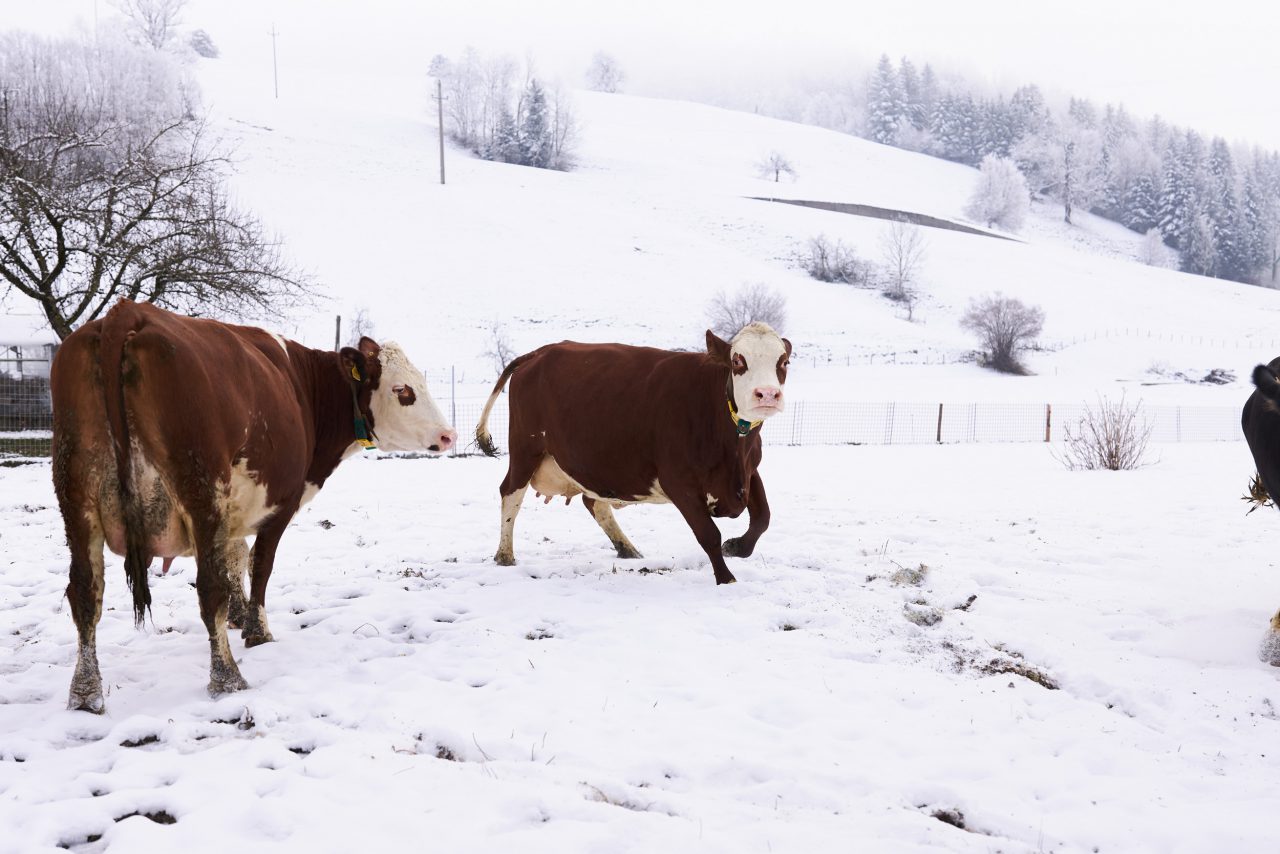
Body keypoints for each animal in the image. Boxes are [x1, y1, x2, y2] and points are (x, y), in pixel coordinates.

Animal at [52, 297, 458, 711]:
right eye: (402, 390)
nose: (448, 435)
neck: (305, 387)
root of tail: (127, 312)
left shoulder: (233, 508)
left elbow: (234, 558)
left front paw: (237, 615)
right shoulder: (280, 503)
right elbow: (258, 564)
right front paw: (257, 631)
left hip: (76, 495)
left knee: (84, 591)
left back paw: (85, 693)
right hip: (200, 489)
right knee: (207, 589)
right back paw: (227, 678)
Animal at [471, 323, 788, 583]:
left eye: (784, 361)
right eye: (738, 360)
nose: (768, 394)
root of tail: (540, 352)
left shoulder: (750, 471)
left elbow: (764, 517)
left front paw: (737, 546)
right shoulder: (679, 482)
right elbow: (709, 534)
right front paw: (726, 579)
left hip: (593, 465)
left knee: (594, 503)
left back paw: (627, 549)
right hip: (526, 449)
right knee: (510, 494)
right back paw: (505, 555)